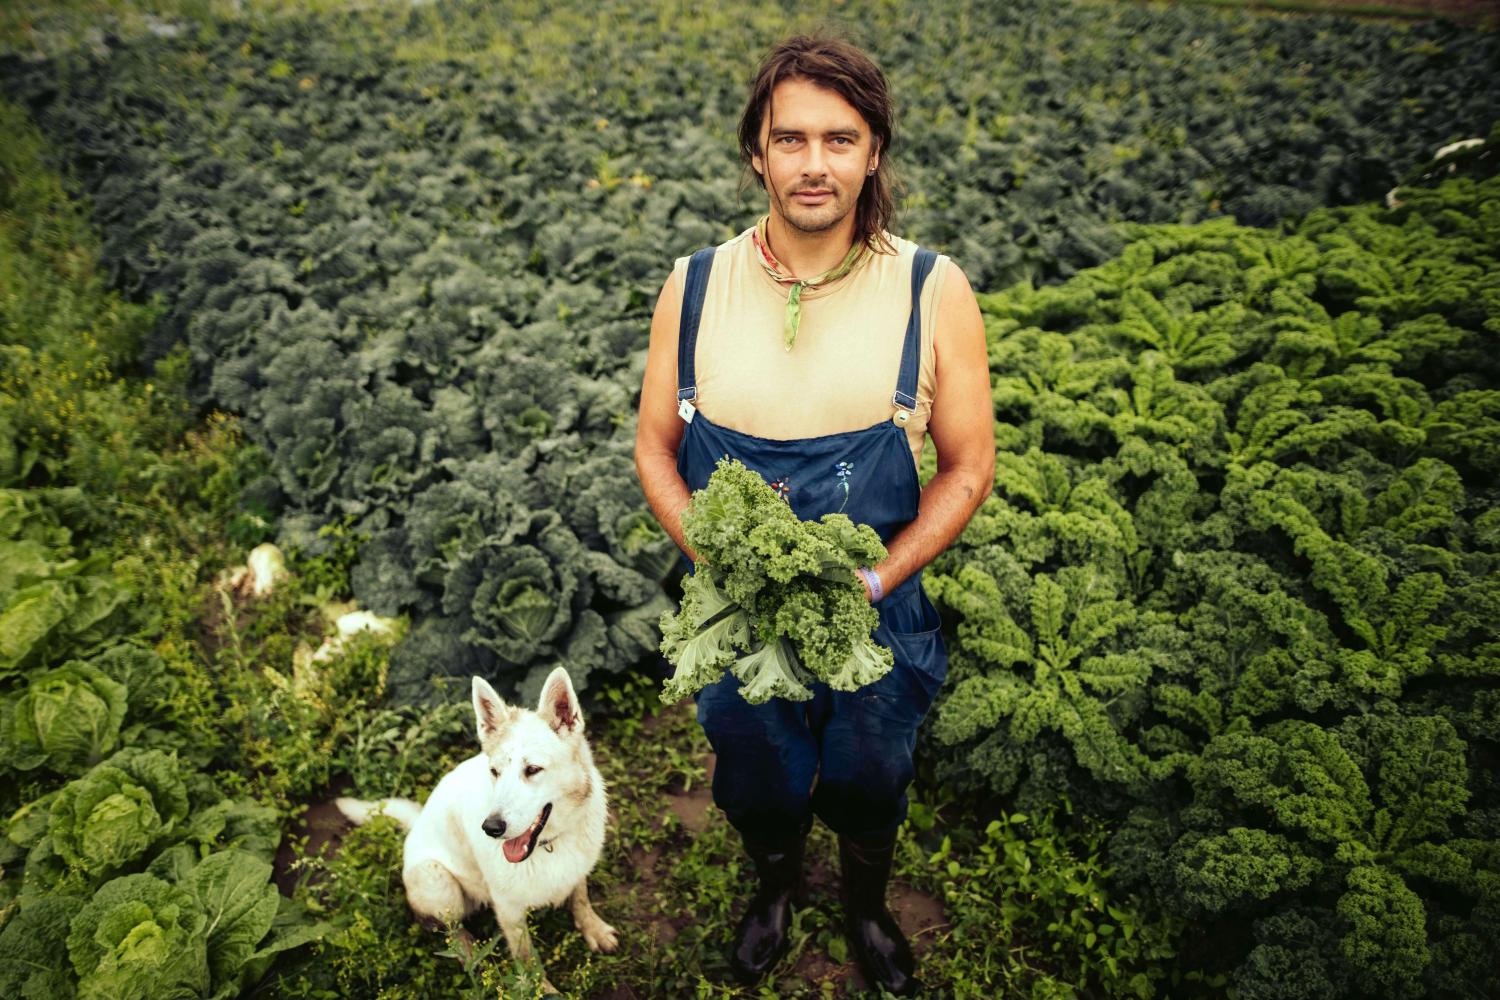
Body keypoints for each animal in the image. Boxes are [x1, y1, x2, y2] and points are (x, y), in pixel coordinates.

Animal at [339, 668, 615, 989]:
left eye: (532, 769)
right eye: (495, 772)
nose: (491, 827)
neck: (549, 844)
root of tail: (416, 823)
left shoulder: (577, 872)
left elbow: (580, 899)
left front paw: (593, 929)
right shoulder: (508, 909)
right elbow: (526, 957)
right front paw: (541, 990)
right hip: (437, 881)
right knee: (449, 930)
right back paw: (470, 955)